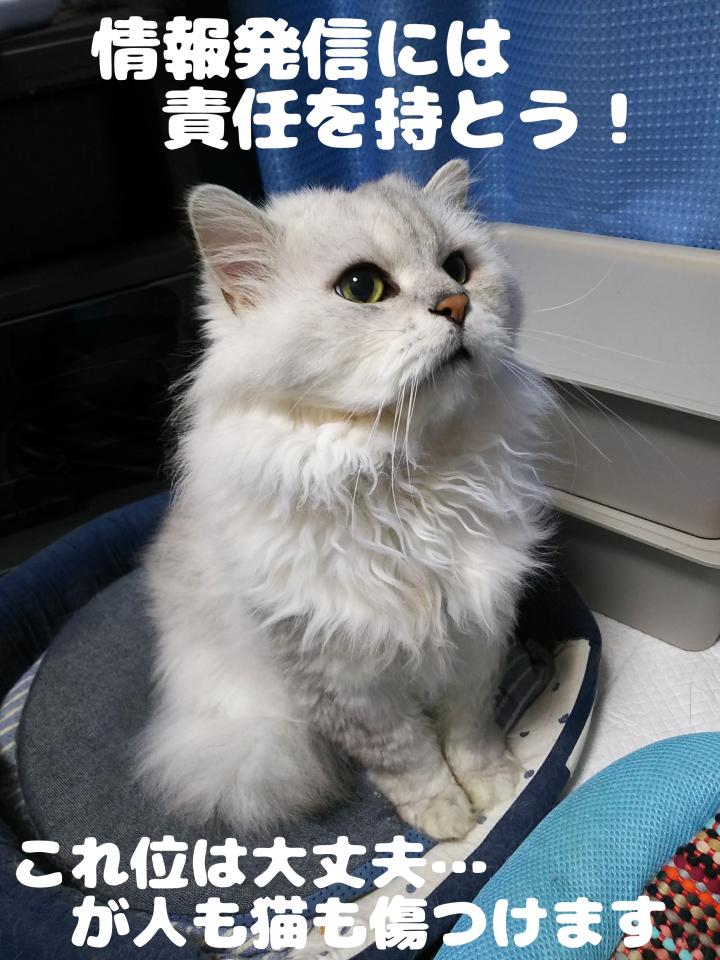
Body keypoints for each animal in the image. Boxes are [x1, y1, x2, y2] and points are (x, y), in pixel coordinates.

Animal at [138, 159, 550, 841]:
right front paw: (449, 820)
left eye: (459, 268)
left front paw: (495, 790)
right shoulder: (346, 683)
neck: (409, 479)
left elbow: (471, 732)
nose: (457, 303)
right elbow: (410, 758)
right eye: (362, 288)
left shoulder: (477, 636)